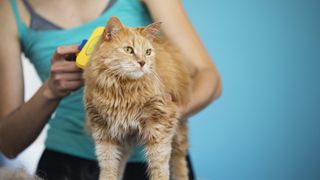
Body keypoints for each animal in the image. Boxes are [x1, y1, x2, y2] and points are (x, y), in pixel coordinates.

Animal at [83, 16, 192, 180]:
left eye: (148, 52)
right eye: (129, 50)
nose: (142, 63)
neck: (122, 90)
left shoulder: (161, 122)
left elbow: (159, 164)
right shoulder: (103, 130)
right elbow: (108, 165)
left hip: (178, 132)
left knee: (179, 161)